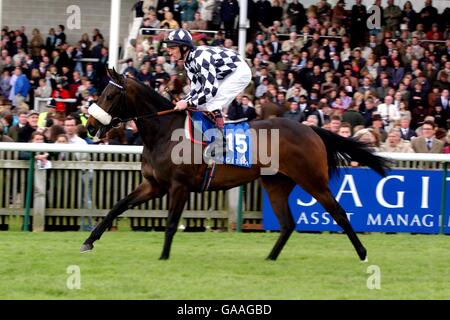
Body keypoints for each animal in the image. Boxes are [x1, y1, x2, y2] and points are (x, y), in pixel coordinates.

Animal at [81, 69, 390, 262]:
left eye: (110, 95)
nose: (92, 125)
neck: (164, 131)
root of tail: (311, 129)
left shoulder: (179, 186)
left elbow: (169, 224)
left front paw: (163, 257)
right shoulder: (154, 185)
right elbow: (117, 206)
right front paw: (89, 241)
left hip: (312, 179)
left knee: (338, 212)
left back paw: (362, 253)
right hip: (276, 183)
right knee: (287, 224)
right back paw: (269, 258)